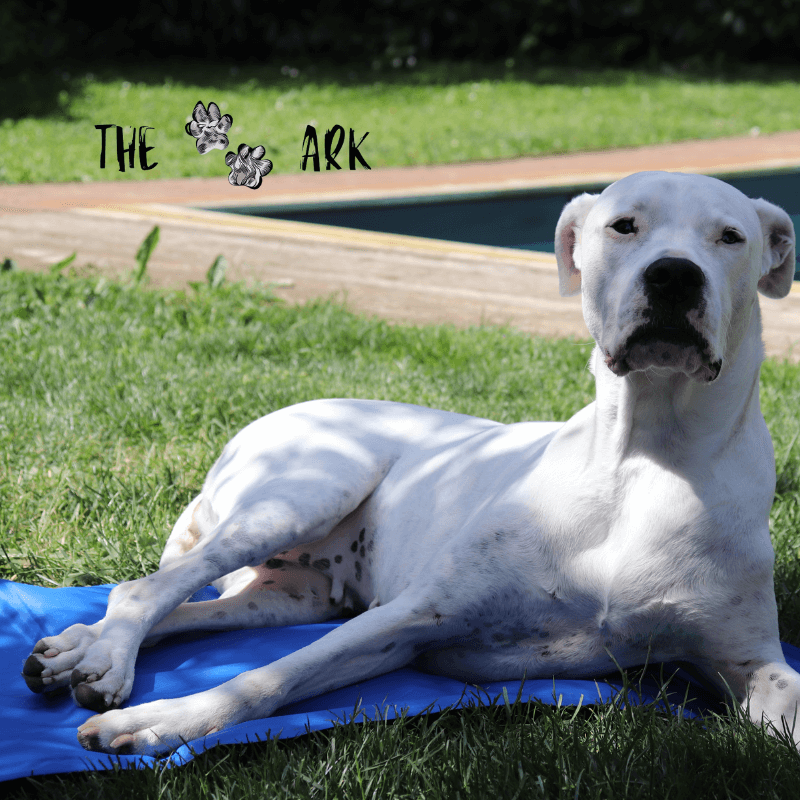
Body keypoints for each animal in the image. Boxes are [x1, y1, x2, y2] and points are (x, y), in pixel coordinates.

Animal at [21, 170, 796, 756]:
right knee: (150, 589)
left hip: (298, 596)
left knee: (178, 604)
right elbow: (268, 678)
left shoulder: (753, 661)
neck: (646, 459)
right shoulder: (414, 618)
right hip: (306, 492)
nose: (674, 277)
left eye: (731, 237)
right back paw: (107, 659)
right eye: (624, 226)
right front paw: (162, 722)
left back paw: (74, 648)